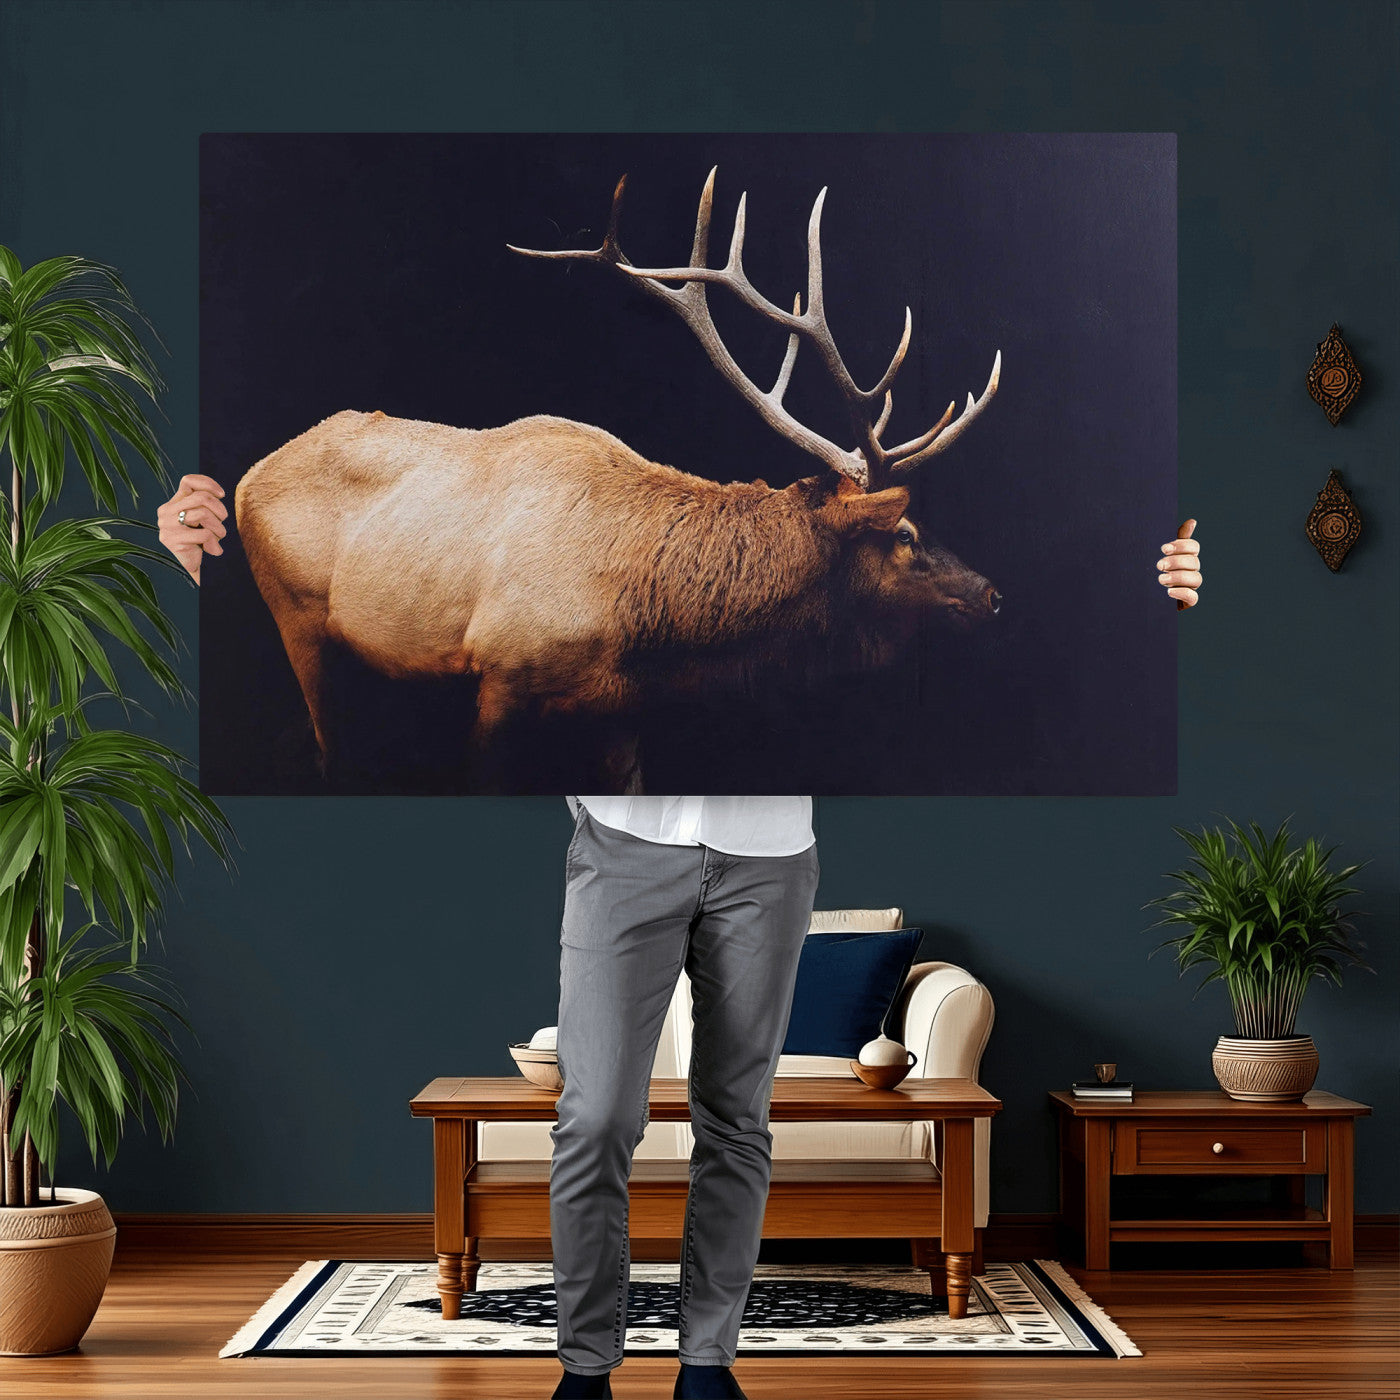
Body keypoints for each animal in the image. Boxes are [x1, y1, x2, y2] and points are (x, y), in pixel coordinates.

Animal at [233, 169, 1003, 791]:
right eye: (905, 533)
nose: (992, 595)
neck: (642, 620)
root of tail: (247, 476)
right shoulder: (499, 674)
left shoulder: (619, 709)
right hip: (295, 615)